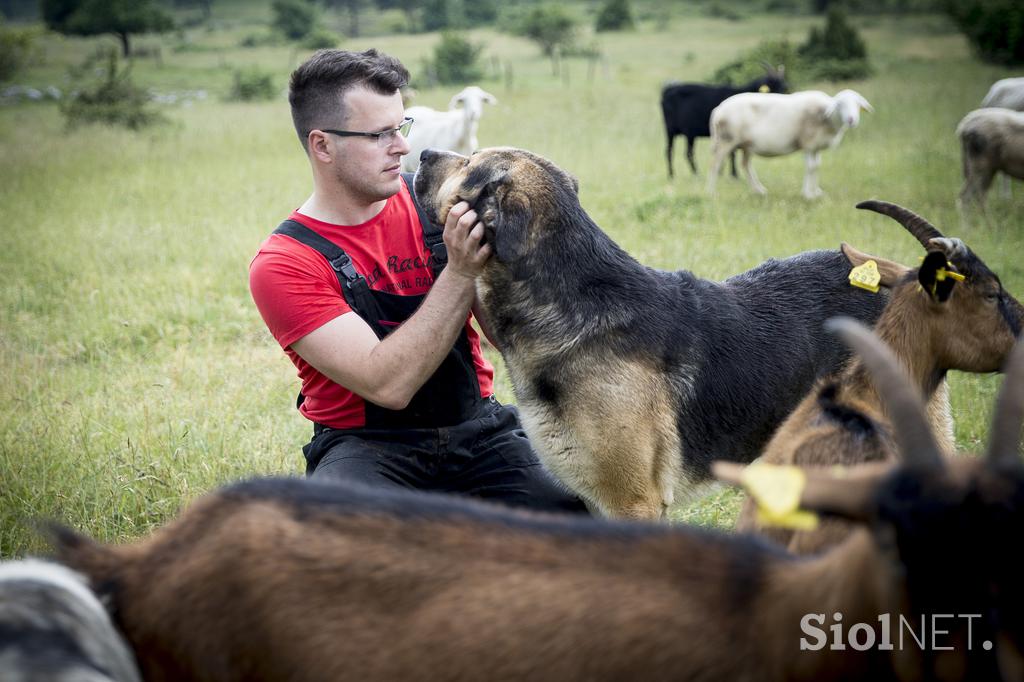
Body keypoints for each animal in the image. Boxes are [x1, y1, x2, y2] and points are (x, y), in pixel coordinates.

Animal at [708, 89, 876, 197]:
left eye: (858, 104)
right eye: (840, 104)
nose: (851, 120)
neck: (826, 117)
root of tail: (717, 109)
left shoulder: (816, 146)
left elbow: (817, 166)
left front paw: (817, 192)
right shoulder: (808, 143)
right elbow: (810, 167)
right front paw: (807, 194)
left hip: (746, 144)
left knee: (745, 165)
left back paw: (759, 190)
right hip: (726, 140)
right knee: (715, 164)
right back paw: (711, 192)